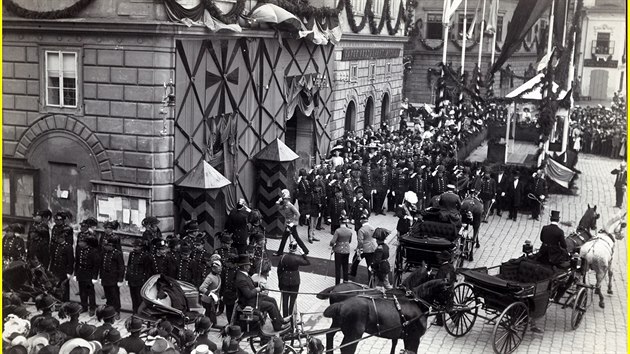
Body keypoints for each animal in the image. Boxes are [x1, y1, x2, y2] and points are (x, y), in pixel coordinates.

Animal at [324, 280, 452, 354]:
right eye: (449, 293)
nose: (451, 309)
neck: (416, 302)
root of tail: (342, 304)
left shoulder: (403, 336)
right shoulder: (413, 338)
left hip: (338, 324)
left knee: (330, 335)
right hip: (354, 334)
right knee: (346, 349)